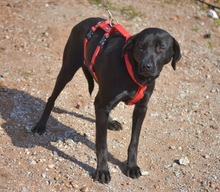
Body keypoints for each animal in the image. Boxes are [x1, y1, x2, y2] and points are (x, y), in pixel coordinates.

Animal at [32, 17, 180, 183]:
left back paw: (110, 121)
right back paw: (41, 125)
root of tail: (85, 20)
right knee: (52, 98)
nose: (146, 66)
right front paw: (102, 170)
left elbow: (134, 141)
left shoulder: (141, 108)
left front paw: (131, 166)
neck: (132, 72)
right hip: (68, 70)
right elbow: (102, 144)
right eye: (141, 46)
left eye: (161, 48)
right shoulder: (104, 104)